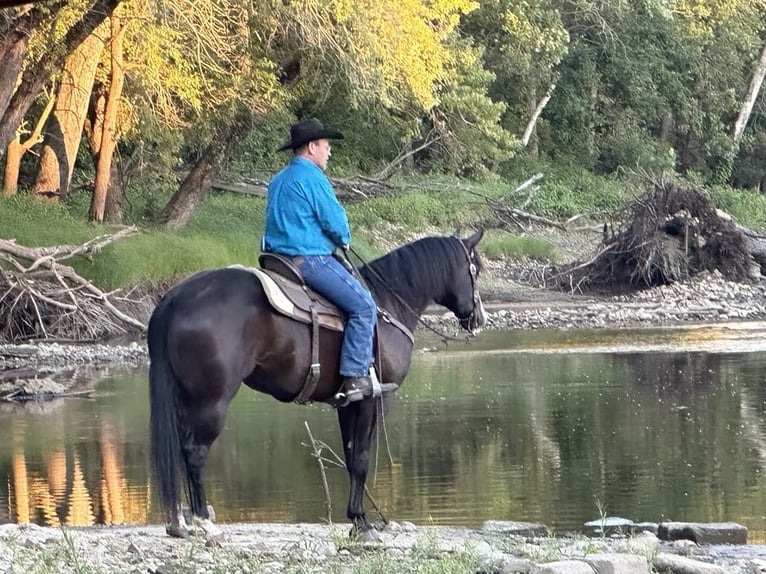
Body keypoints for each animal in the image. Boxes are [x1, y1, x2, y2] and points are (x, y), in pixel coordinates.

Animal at [148, 230, 487, 539]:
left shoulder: (348, 403)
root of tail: (176, 298)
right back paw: (202, 521)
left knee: (180, 451)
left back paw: (181, 522)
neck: (388, 303)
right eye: (476, 268)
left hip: (185, 398)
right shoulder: (372, 401)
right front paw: (362, 523)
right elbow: (361, 459)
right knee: (195, 452)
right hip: (212, 401)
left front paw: (356, 518)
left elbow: (350, 457)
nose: (479, 318)